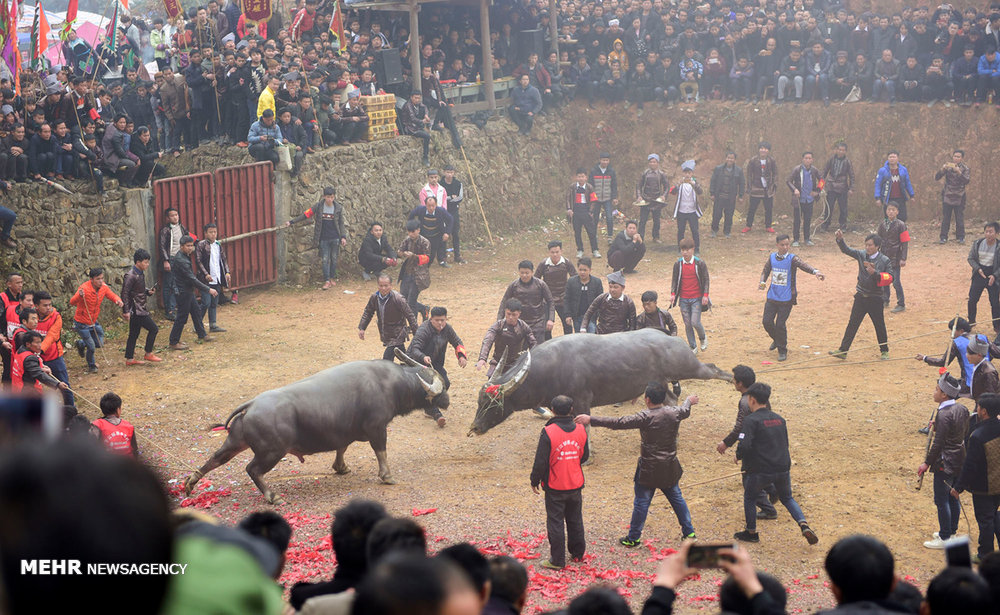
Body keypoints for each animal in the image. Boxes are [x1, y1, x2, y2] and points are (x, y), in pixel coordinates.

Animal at [187, 352, 450, 506]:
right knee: (252, 469)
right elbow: (381, 452)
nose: (447, 400)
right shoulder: (377, 428)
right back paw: (273, 496)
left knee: (216, 458)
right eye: (440, 391)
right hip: (272, 452)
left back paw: (190, 483)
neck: (390, 384)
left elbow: (342, 448)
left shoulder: (344, 430)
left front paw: (341, 468)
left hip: (236, 441)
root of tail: (251, 404)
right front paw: (387, 476)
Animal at [464, 330, 732, 436]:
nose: (475, 427)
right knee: (672, 399)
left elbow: (585, 427)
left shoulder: (583, 402)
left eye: (491, 403)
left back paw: (734, 381)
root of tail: (671, 338)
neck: (549, 368)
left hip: (689, 367)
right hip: (659, 384)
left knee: (713, 370)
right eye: (479, 401)